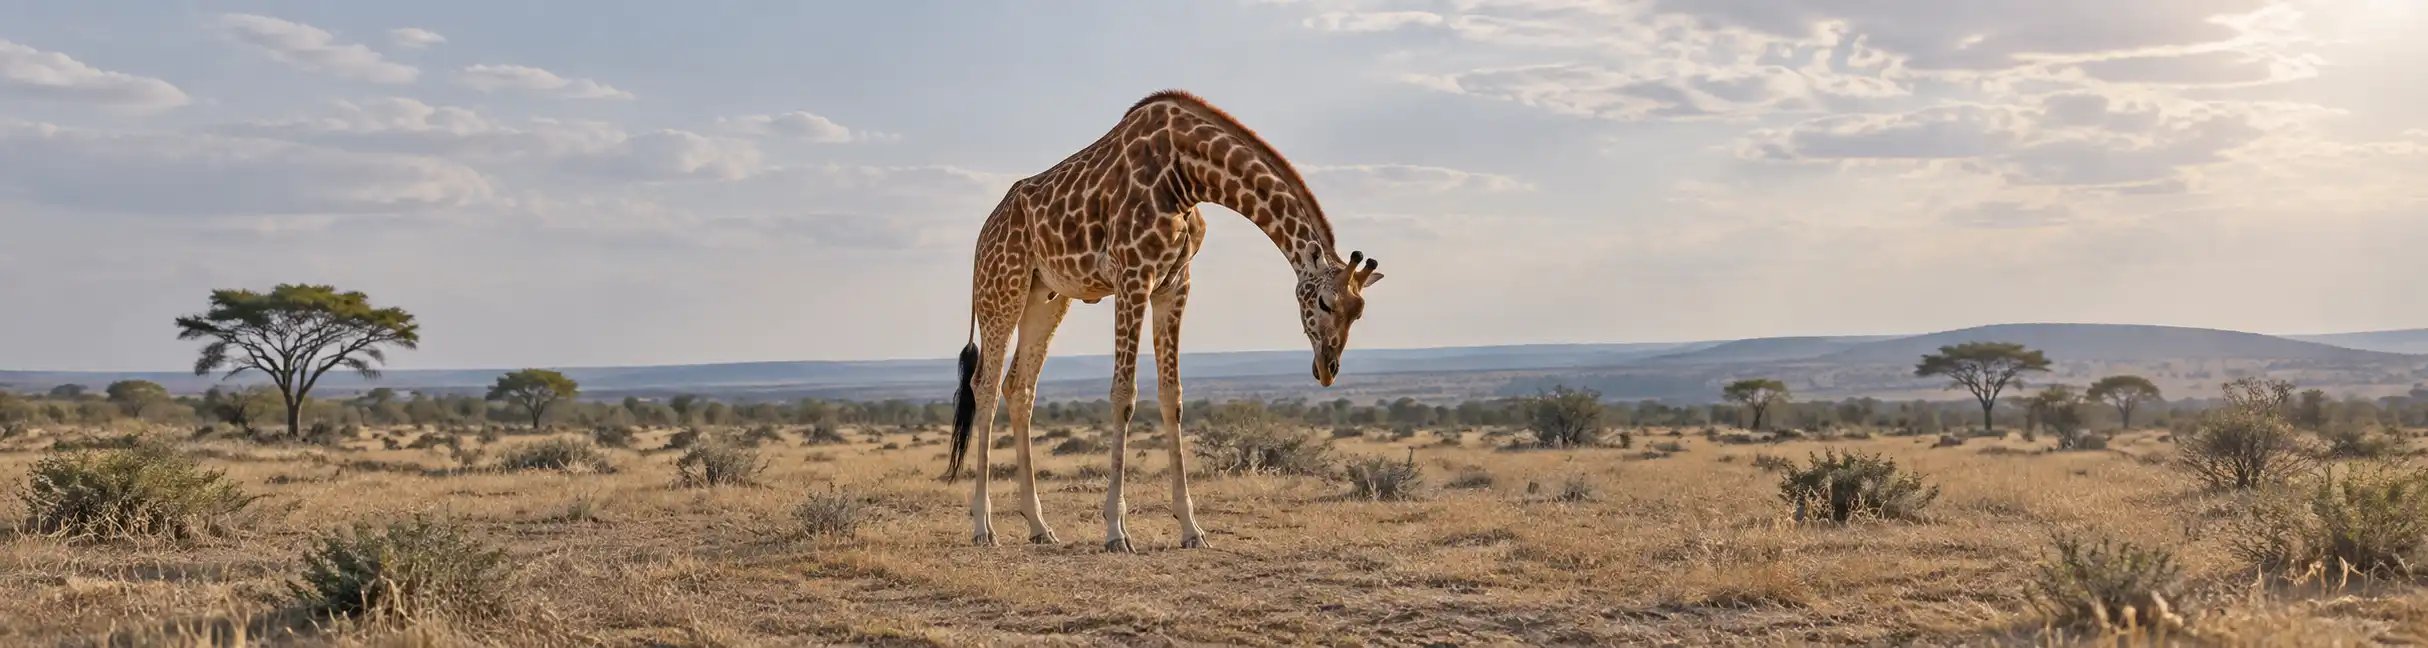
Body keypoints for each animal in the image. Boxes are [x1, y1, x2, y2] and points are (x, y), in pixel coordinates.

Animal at [942, 89, 1386, 552]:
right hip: (1001, 288)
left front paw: (1191, 528)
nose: (1328, 369)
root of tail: (984, 232)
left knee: (1019, 387)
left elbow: (1172, 398)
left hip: (1046, 296)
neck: (1187, 174)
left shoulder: (1175, 285)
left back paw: (1039, 526)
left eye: (1358, 312)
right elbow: (1124, 395)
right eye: (1324, 303)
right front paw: (1116, 531)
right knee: (985, 385)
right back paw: (983, 526)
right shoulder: (1133, 275)